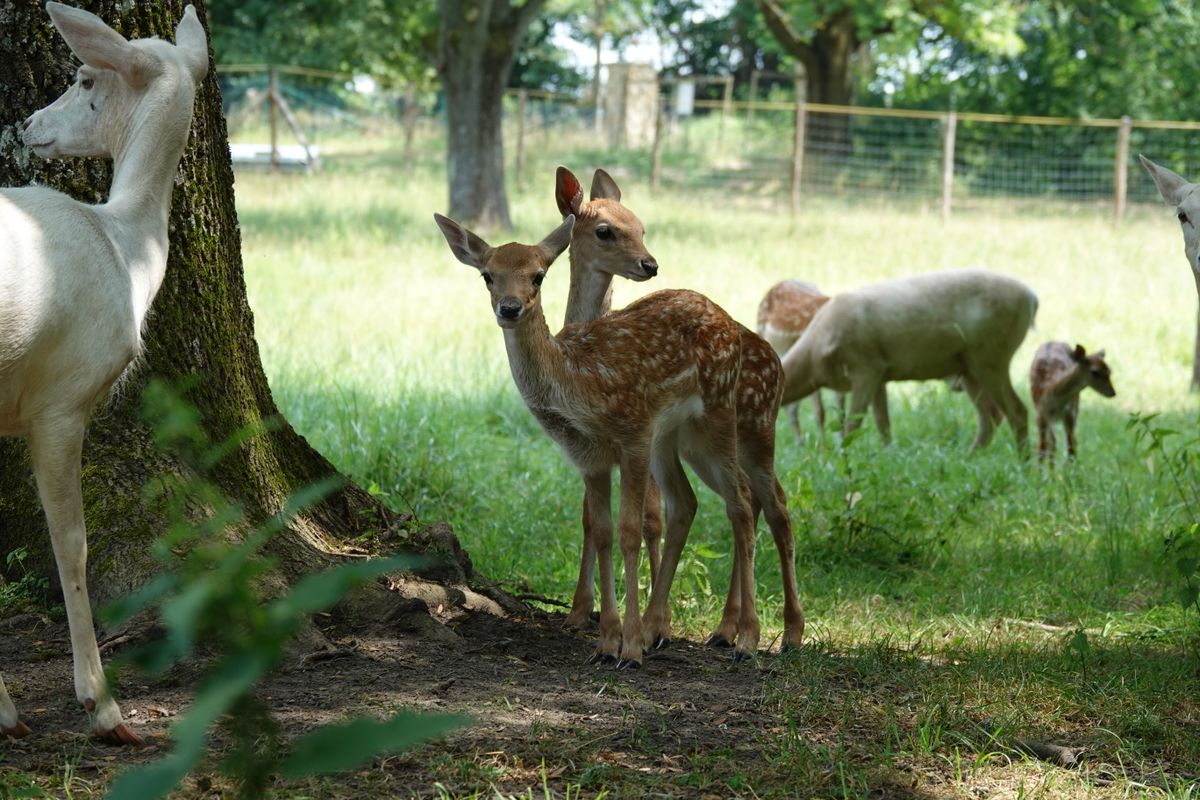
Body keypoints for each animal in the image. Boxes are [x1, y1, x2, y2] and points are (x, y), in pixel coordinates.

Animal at [436, 212, 763, 662]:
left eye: (538, 276)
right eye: (488, 275)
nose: (510, 308)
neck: (579, 387)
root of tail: (726, 317)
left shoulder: (634, 435)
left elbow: (629, 532)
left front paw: (629, 650)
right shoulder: (588, 457)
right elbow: (602, 531)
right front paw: (608, 642)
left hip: (716, 412)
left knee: (742, 501)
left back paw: (745, 638)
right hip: (672, 435)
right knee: (688, 503)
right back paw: (657, 629)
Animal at [554, 165, 801, 652]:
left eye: (642, 227)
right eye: (605, 230)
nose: (650, 264)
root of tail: (779, 365)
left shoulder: (638, 443)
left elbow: (651, 519)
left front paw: (654, 623)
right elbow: (591, 519)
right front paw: (580, 612)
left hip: (755, 431)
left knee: (774, 506)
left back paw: (788, 632)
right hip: (703, 446)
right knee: (750, 500)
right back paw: (727, 628)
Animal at [782, 272, 1036, 453]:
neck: (815, 360)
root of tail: (1032, 298)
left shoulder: (866, 366)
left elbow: (852, 426)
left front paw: (843, 458)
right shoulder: (880, 375)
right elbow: (883, 424)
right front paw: (888, 456)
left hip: (991, 355)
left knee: (1017, 410)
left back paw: (1025, 465)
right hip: (969, 366)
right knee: (990, 416)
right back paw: (969, 457)